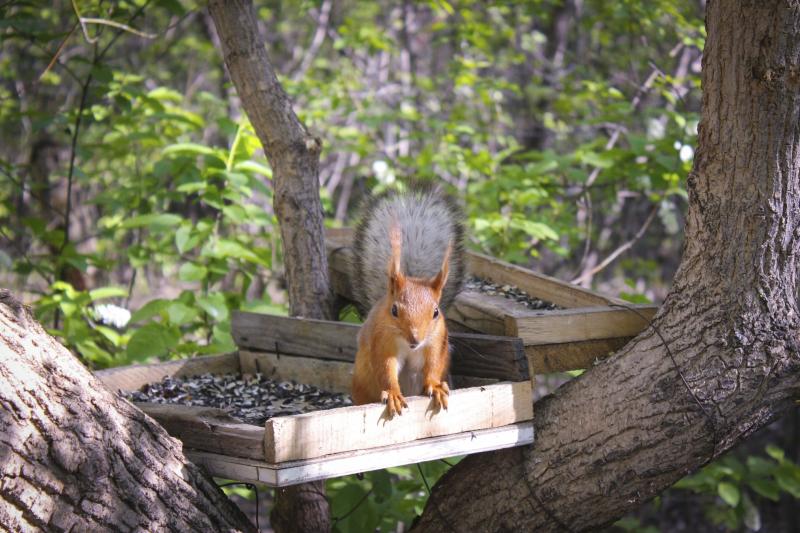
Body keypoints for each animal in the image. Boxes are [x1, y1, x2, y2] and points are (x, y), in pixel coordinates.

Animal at [348, 188, 462, 416]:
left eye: (436, 312)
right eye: (394, 310)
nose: (415, 339)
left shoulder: (437, 342)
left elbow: (433, 366)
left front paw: (435, 386)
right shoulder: (383, 342)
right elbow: (386, 368)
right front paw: (393, 394)